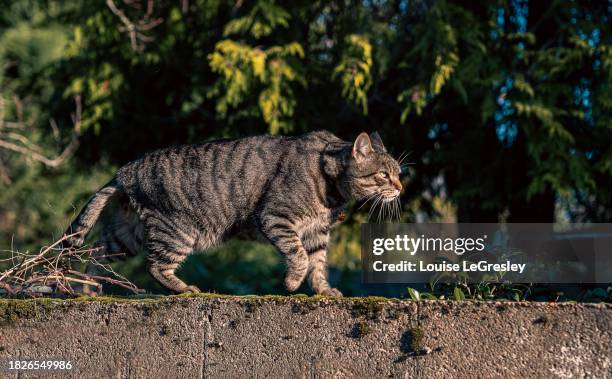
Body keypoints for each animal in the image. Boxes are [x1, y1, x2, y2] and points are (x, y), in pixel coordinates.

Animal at [65, 131, 402, 296]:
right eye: (383, 175)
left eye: (398, 172)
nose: (400, 187)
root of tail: (127, 169)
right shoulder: (276, 218)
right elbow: (299, 257)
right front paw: (292, 283)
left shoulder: (316, 233)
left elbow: (317, 265)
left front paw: (324, 291)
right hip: (178, 231)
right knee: (154, 265)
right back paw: (184, 289)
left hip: (128, 234)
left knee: (96, 252)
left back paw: (88, 289)